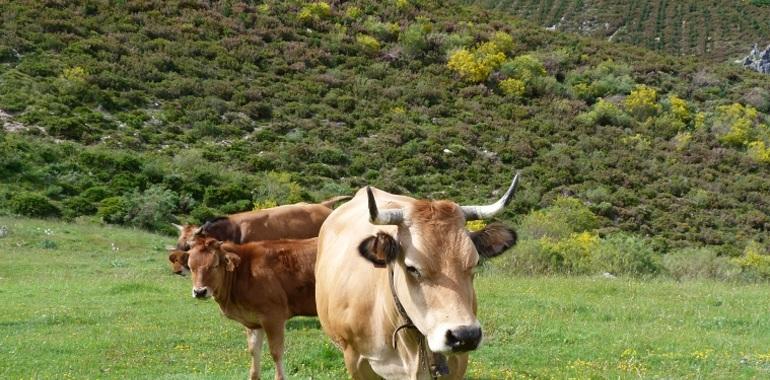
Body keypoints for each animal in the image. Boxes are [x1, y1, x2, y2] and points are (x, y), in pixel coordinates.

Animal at [188, 235, 316, 380]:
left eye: (214, 265)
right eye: (191, 267)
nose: (199, 291)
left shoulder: (273, 317)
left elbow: (276, 352)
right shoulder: (253, 321)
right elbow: (254, 350)